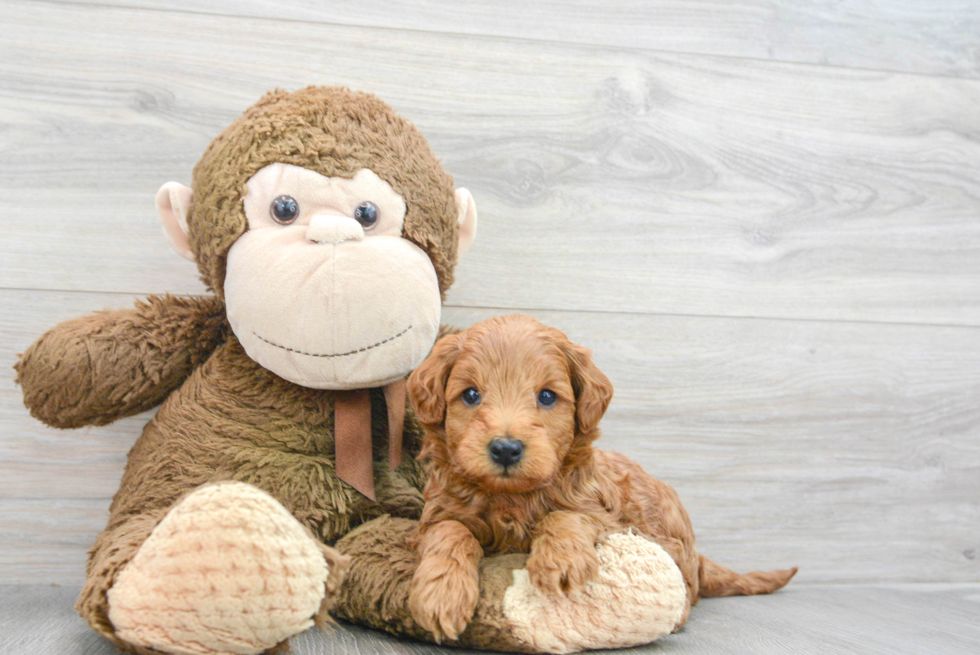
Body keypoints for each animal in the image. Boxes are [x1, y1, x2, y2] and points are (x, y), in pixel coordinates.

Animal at [406, 316, 796, 644]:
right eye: (471, 394)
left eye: (547, 396)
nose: (505, 449)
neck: (512, 497)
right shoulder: (438, 512)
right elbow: (450, 531)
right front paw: (441, 594)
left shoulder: (605, 515)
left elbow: (564, 515)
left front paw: (560, 561)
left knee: (685, 591)